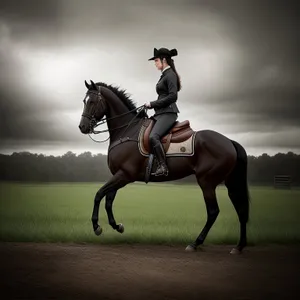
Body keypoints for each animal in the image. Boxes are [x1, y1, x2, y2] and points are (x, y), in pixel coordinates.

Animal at [78, 79, 250, 253]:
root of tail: (229, 141)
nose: (82, 127)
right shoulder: (118, 175)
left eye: (92, 102)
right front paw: (117, 226)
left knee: (213, 212)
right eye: (84, 101)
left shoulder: (124, 175)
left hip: (207, 182)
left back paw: (195, 243)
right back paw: (239, 246)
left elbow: (99, 194)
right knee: (240, 209)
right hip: (230, 182)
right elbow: (108, 200)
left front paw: (96, 227)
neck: (127, 130)